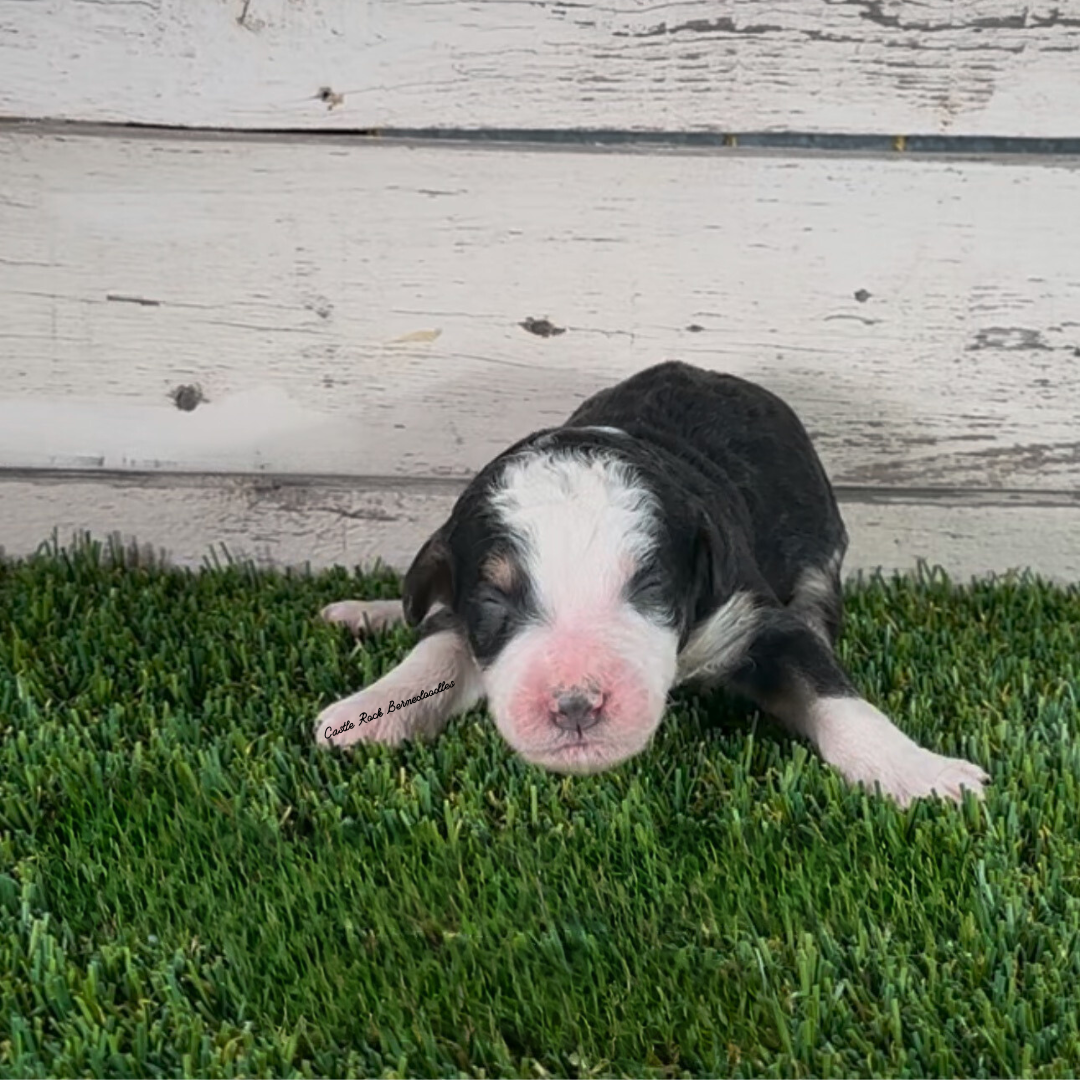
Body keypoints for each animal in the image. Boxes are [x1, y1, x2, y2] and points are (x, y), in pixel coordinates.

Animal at [313, 362, 989, 812]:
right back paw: (367, 611)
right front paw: (364, 712)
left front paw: (921, 774)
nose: (576, 707)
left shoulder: (752, 616)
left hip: (818, 547)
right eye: (493, 601)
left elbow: (834, 693)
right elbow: (439, 647)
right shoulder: (462, 594)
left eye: (650, 587)